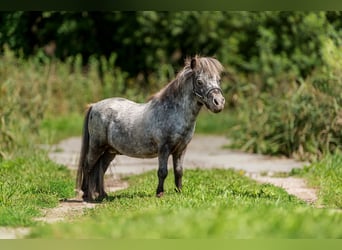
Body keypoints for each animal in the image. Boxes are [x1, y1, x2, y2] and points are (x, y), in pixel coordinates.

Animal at [76, 55, 224, 201]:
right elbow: (162, 172)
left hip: (109, 151)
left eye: (218, 80)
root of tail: (94, 106)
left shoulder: (181, 149)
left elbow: (179, 171)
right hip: (96, 146)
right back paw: (87, 195)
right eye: (199, 82)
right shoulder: (164, 148)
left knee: (100, 168)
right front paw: (159, 193)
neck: (172, 112)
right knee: (88, 166)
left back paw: (102, 195)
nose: (219, 103)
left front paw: (179, 192)